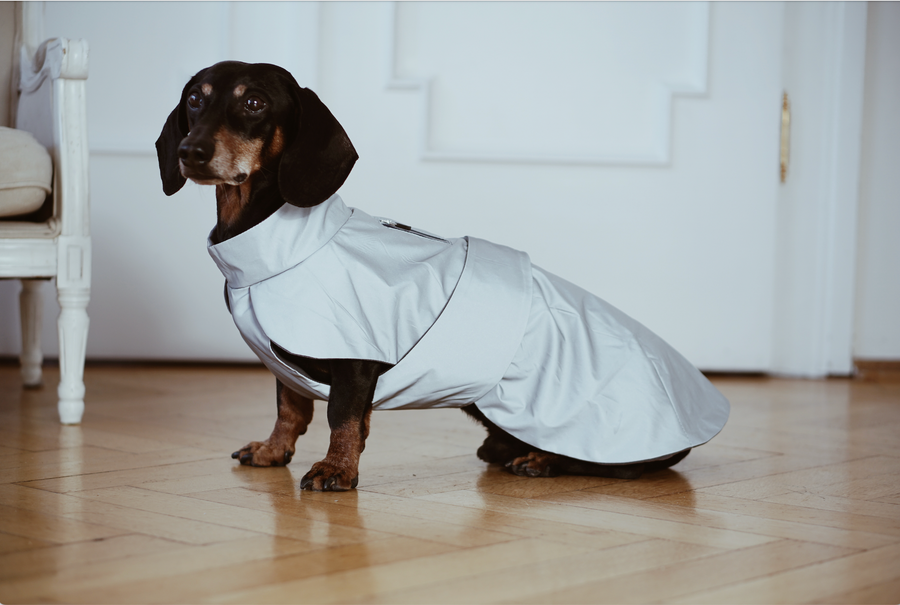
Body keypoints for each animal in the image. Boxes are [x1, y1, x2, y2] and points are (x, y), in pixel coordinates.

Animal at [155, 60, 692, 490]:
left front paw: (336, 469)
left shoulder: (355, 357)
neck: (281, 243)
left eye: (254, 102)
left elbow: (341, 416)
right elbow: (291, 406)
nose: (190, 151)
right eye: (194, 99)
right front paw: (272, 449)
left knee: (620, 465)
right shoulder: (289, 355)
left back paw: (541, 459)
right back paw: (504, 449)